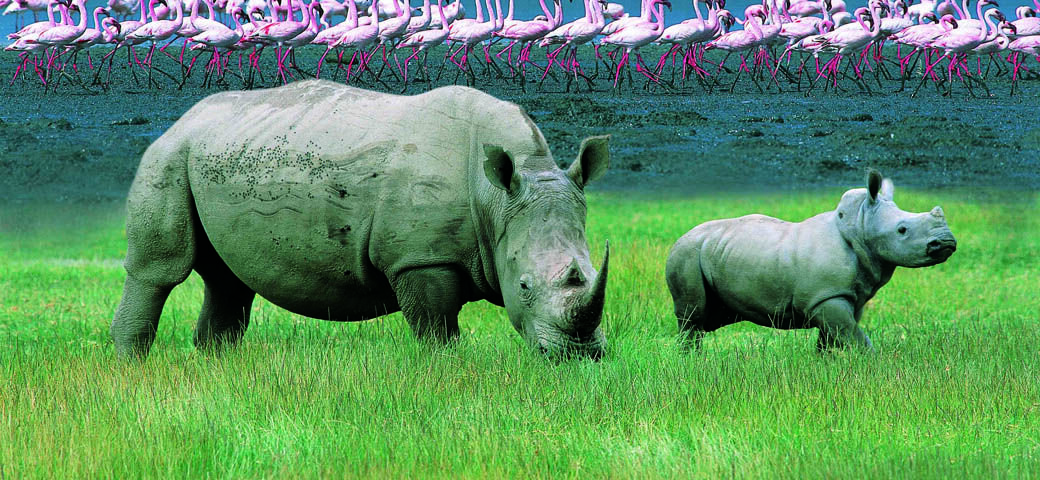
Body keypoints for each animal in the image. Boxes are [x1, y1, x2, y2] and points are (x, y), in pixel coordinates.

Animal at [111, 80, 611, 359]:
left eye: (589, 271)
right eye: (523, 285)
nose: (578, 355)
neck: (498, 196)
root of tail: (183, 118)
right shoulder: (419, 258)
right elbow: (437, 330)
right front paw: (447, 372)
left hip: (219, 155)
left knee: (228, 281)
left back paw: (216, 367)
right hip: (168, 156)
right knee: (159, 271)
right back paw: (131, 368)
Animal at [665, 171, 956, 351]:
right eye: (902, 230)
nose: (947, 242)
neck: (859, 224)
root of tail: (681, 237)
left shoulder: (840, 296)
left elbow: (834, 338)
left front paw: (825, 368)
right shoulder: (826, 295)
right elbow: (854, 336)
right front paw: (873, 365)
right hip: (686, 254)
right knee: (692, 317)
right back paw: (691, 363)